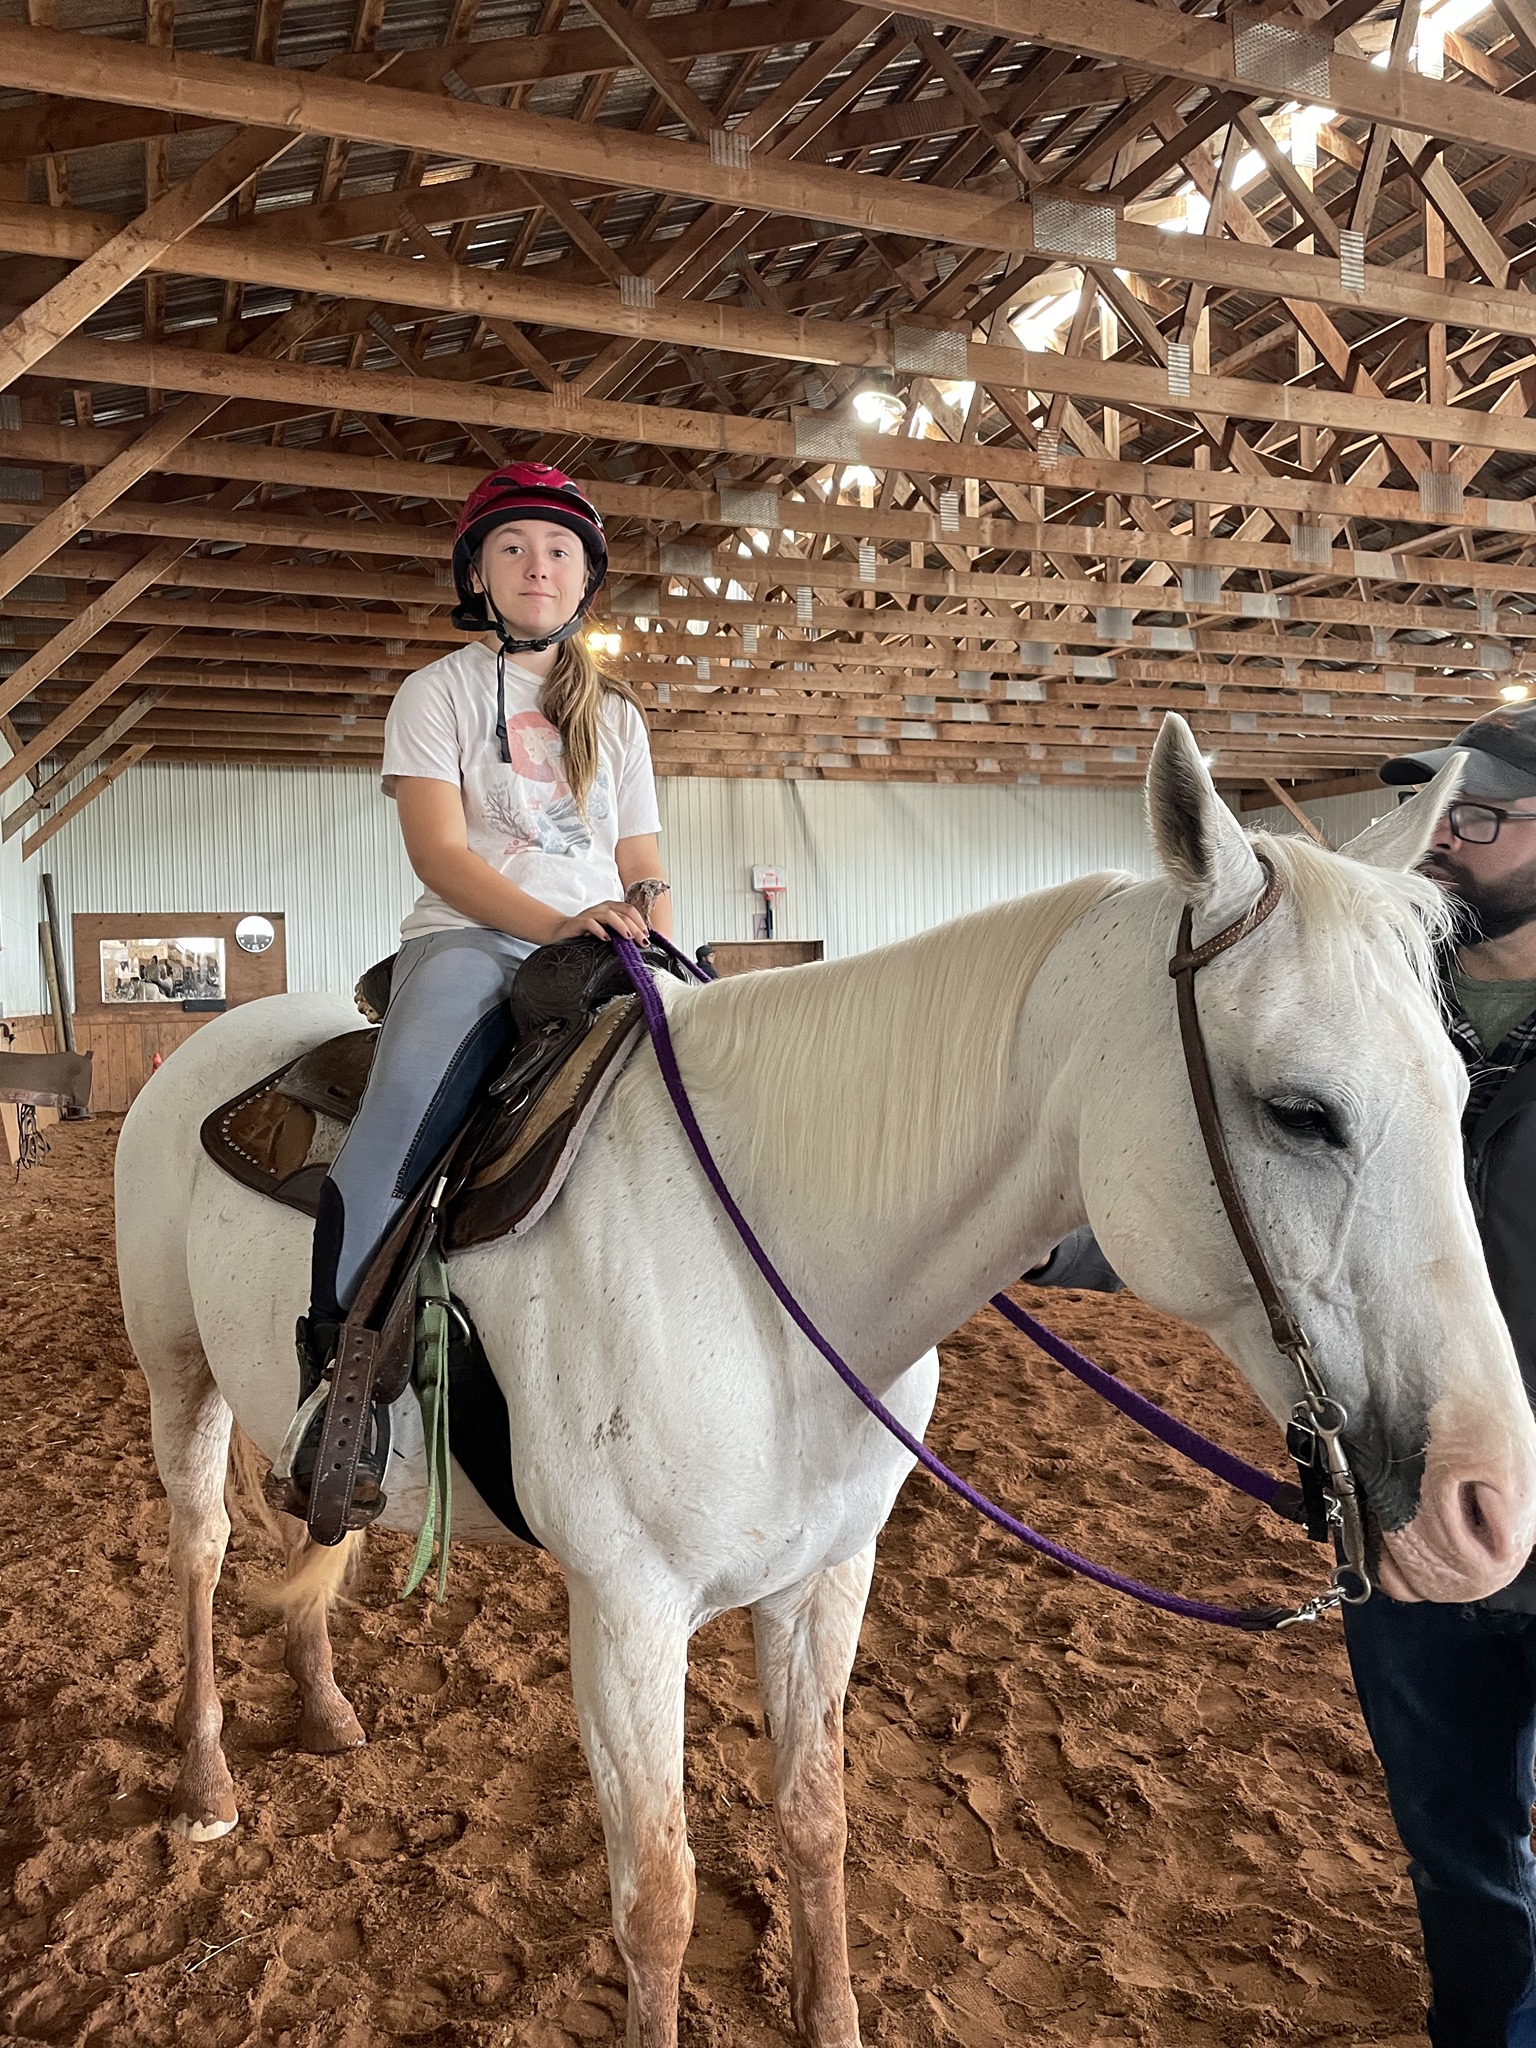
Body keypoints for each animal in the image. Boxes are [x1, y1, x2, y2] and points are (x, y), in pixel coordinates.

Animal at [114, 716, 1536, 2048]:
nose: (1487, 1510)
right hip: (178, 1375)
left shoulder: (826, 1574)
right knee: (199, 1548)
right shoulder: (625, 1616)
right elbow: (657, 1897)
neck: (774, 1261)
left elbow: (815, 1820)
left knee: (305, 1532)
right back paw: (206, 1785)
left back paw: (323, 1707)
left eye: (1463, 1083)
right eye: (1300, 1110)